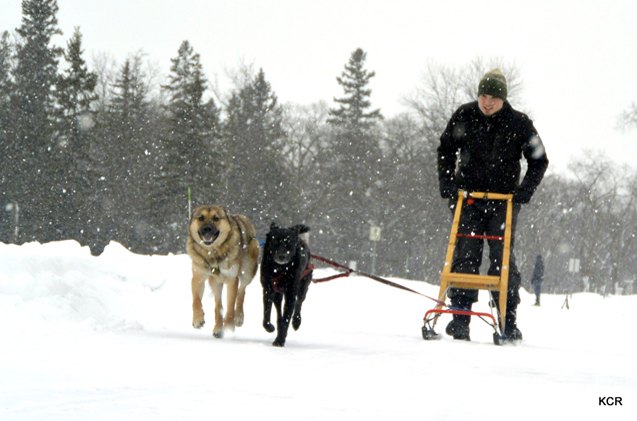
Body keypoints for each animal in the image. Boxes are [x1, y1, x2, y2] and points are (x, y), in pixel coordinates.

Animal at [186, 205, 258, 336]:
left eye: (216, 218)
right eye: (201, 218)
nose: (207, 229)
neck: (212, 253)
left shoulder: (231, 279)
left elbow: (230, 305)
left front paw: (229, 327)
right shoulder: (199, 277)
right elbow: (198, 300)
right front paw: (199, 319)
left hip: (248, 271)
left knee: (242, 291)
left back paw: (238, 316)